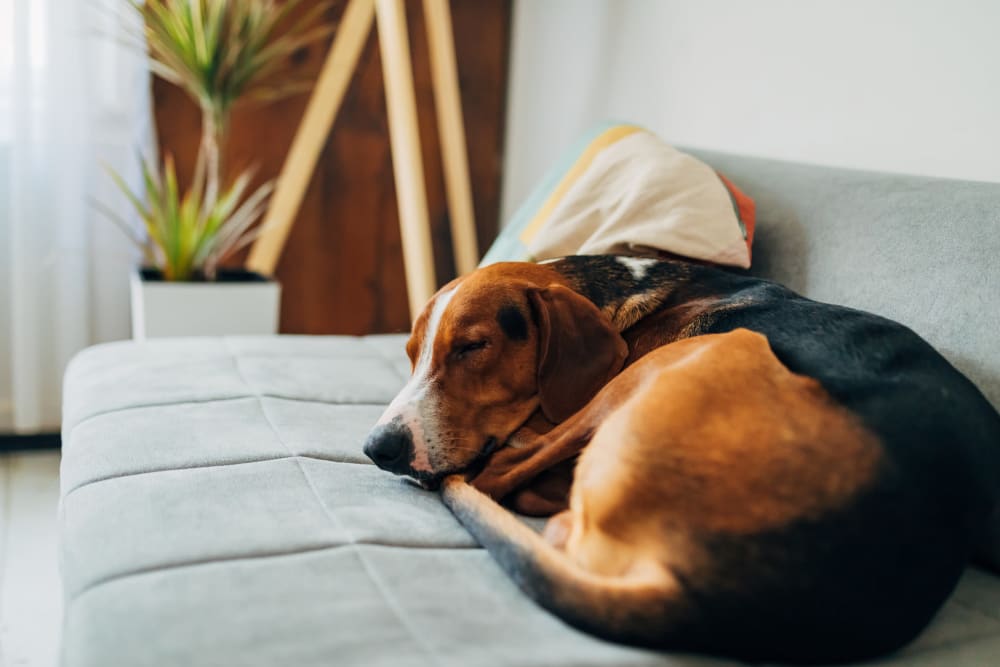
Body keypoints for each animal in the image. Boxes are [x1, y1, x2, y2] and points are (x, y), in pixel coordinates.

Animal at [366, 254, 1000, 664]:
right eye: (411, 353)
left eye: (473, 347)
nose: (377, 450)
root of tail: (708, 594)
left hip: (700, 352)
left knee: (504, 483)